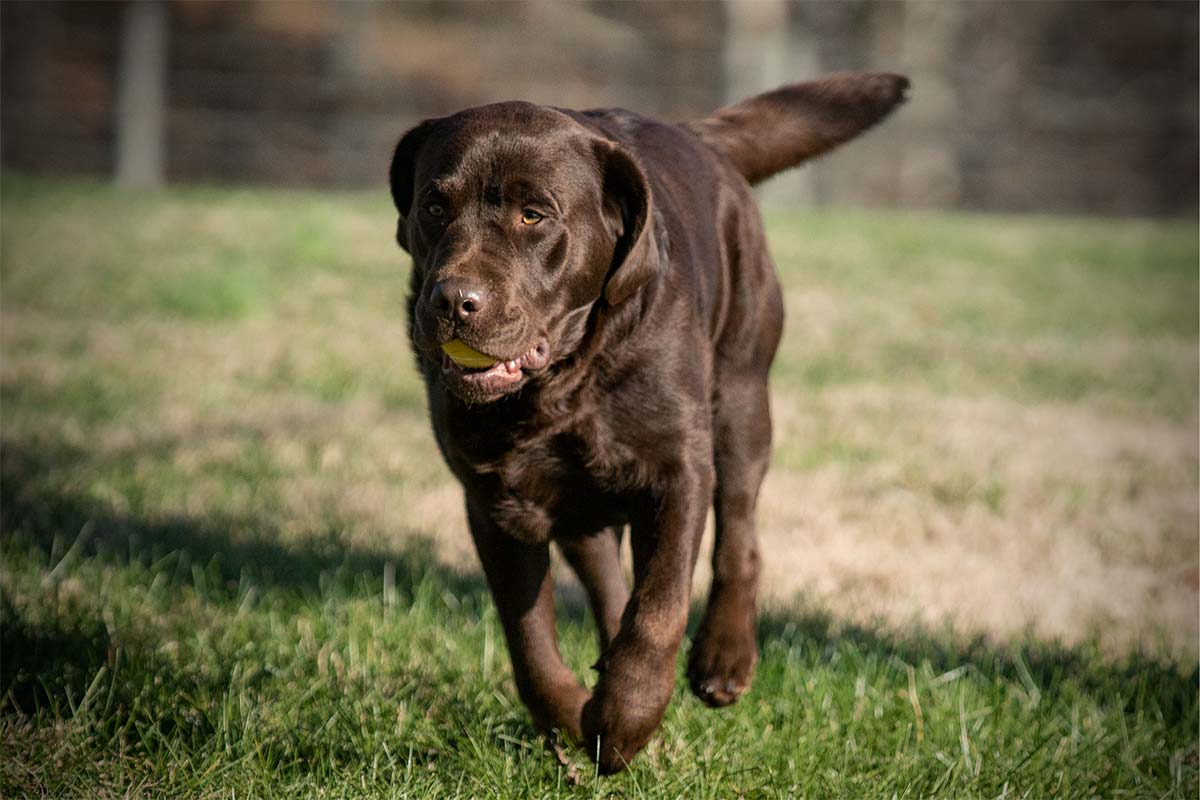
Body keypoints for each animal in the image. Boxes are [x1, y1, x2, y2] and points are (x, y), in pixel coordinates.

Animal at [388, 74, 902, 777]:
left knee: (739, 536)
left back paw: (723, 660)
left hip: (741, 398)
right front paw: (574, 719)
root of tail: (700, 136)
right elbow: (530, 641)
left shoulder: (676, 470)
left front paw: (627, 721)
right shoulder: (494, 500)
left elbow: (659, 609)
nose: (452, 301)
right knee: (607, 581)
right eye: (434, 207)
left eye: (533, 216)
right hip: (578, 500)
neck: (564, 385)